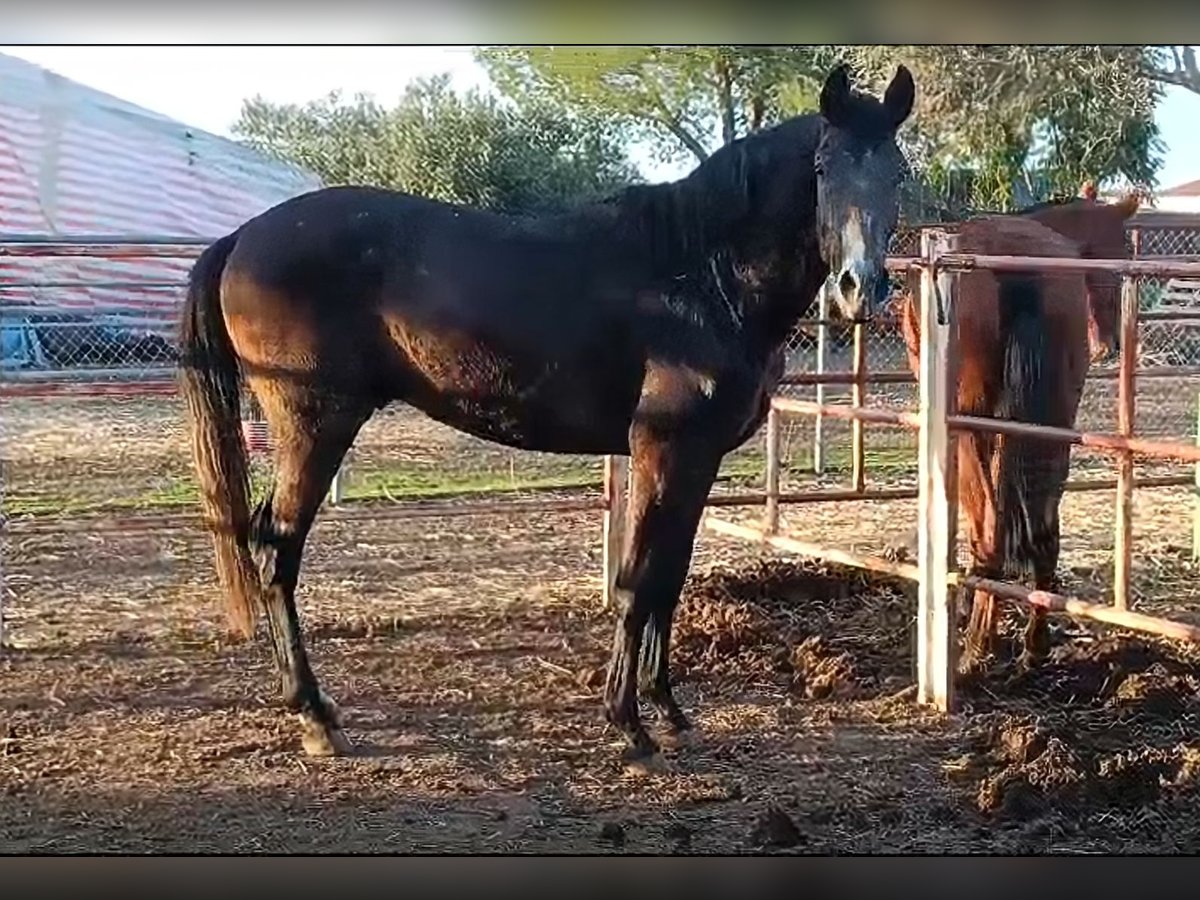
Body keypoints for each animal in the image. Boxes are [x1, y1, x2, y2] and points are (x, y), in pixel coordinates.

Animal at [177, 65, 912, 768]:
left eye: (898, 171)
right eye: (824, 166)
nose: (861, 287)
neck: (704, 272)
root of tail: (242, 238)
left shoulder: (698, 458)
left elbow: (670, 579)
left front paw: (670, 714)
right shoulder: (662, 448)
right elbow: (636, 582)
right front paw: (629, 728)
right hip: (313, 426)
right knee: (276, 549)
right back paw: (315, 717)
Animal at [897, 214, 1094, 672]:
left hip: (972, 422)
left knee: (990, 529)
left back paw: (975, 649)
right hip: (1052, 424)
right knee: (1042, 527)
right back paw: (1033, 646)